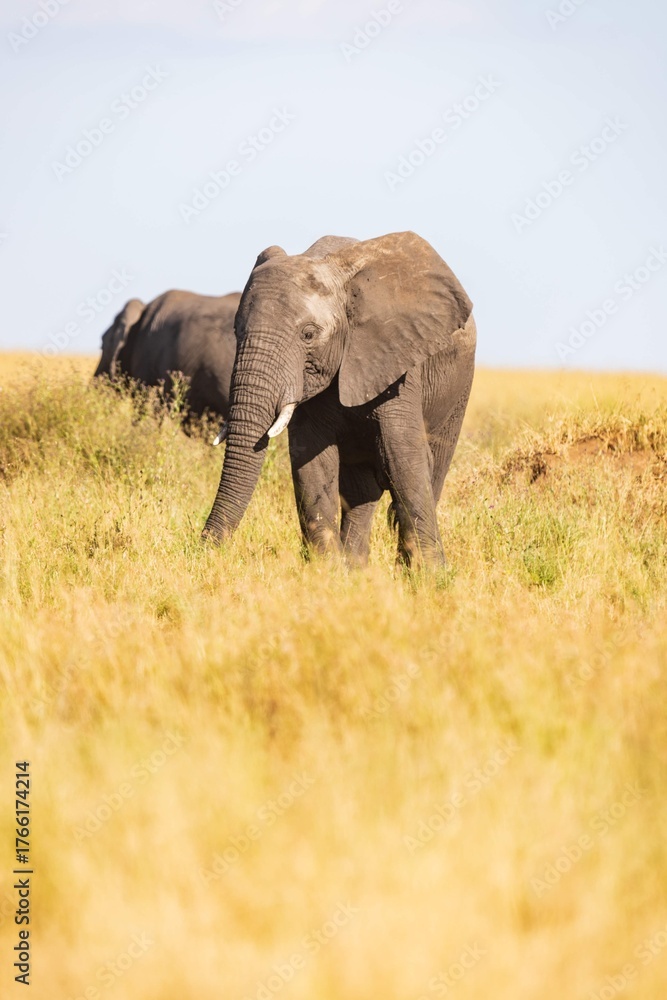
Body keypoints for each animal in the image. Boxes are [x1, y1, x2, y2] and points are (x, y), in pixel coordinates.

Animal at [202, 231, 476, 568]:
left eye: (308, 334)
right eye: (236, 330)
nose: (203, 545)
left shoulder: (398, 361)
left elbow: (403, 456)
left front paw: (428, 574)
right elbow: (311, 462)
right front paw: (327, 571)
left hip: (458, 391)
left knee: (433, 468)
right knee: (360, 491)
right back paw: (355, 568)